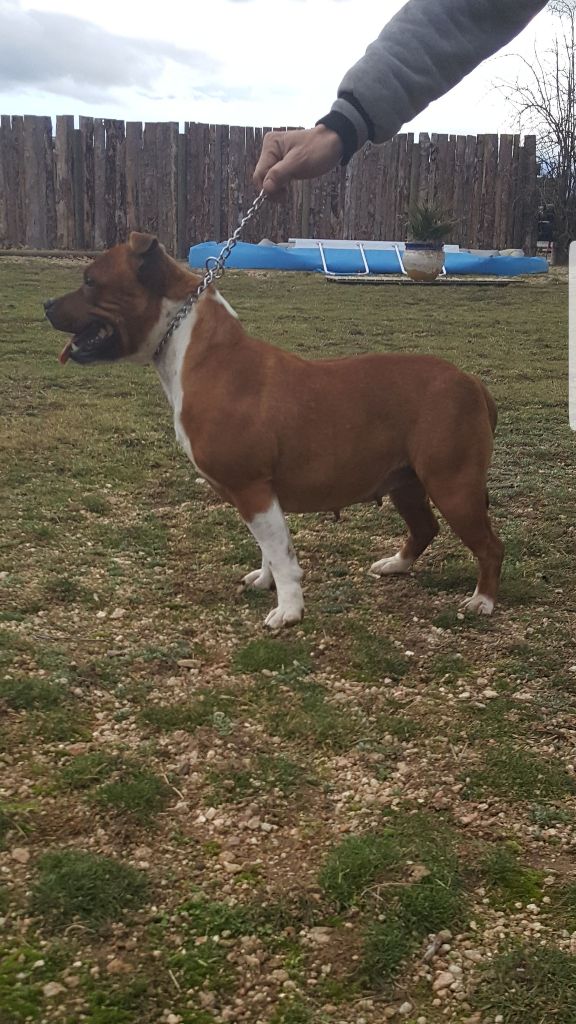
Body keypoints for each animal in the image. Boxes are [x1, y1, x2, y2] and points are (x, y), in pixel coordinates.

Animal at [44, 232, 504, 630]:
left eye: (90, 281)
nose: (46, 304)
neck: (196, 352)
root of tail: (471, 381)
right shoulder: (256, 495)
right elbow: (268, 546)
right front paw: (266, 583)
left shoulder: (252, 488)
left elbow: (281, 554)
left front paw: (288, 610)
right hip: (405, 481)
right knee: (425, 527)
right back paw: (395, 564)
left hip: (453, 485)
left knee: (489, 545)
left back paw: (482, 600)